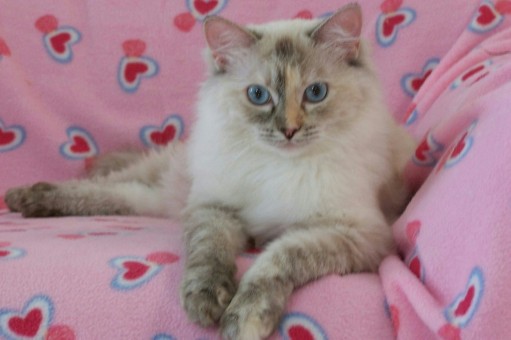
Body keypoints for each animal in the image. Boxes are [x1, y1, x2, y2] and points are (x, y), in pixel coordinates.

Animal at [4, 3, 416, 340]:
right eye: (258, 96)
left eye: (315, 93)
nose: (289, 130)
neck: (279, 167)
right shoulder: (214, 209)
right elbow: (208, 253)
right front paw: (206, 300)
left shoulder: (356, 234)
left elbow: (278, 258)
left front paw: (244, 317)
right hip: (172, 182)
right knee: (103, 185)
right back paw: (24, 198)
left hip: (159, 200)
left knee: (119, 196)